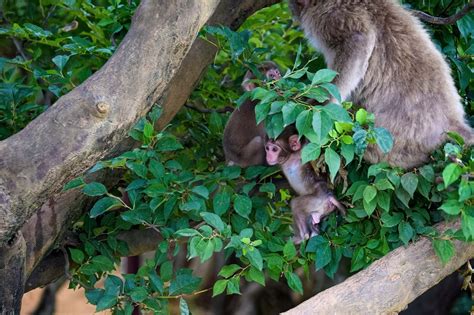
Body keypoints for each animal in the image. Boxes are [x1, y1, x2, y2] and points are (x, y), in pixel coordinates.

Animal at [286, 0, 472, 169]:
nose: (294, 11)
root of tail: (452, 121)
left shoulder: (332, 15)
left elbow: (358, 42)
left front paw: (323, 105)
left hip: (398, 139)